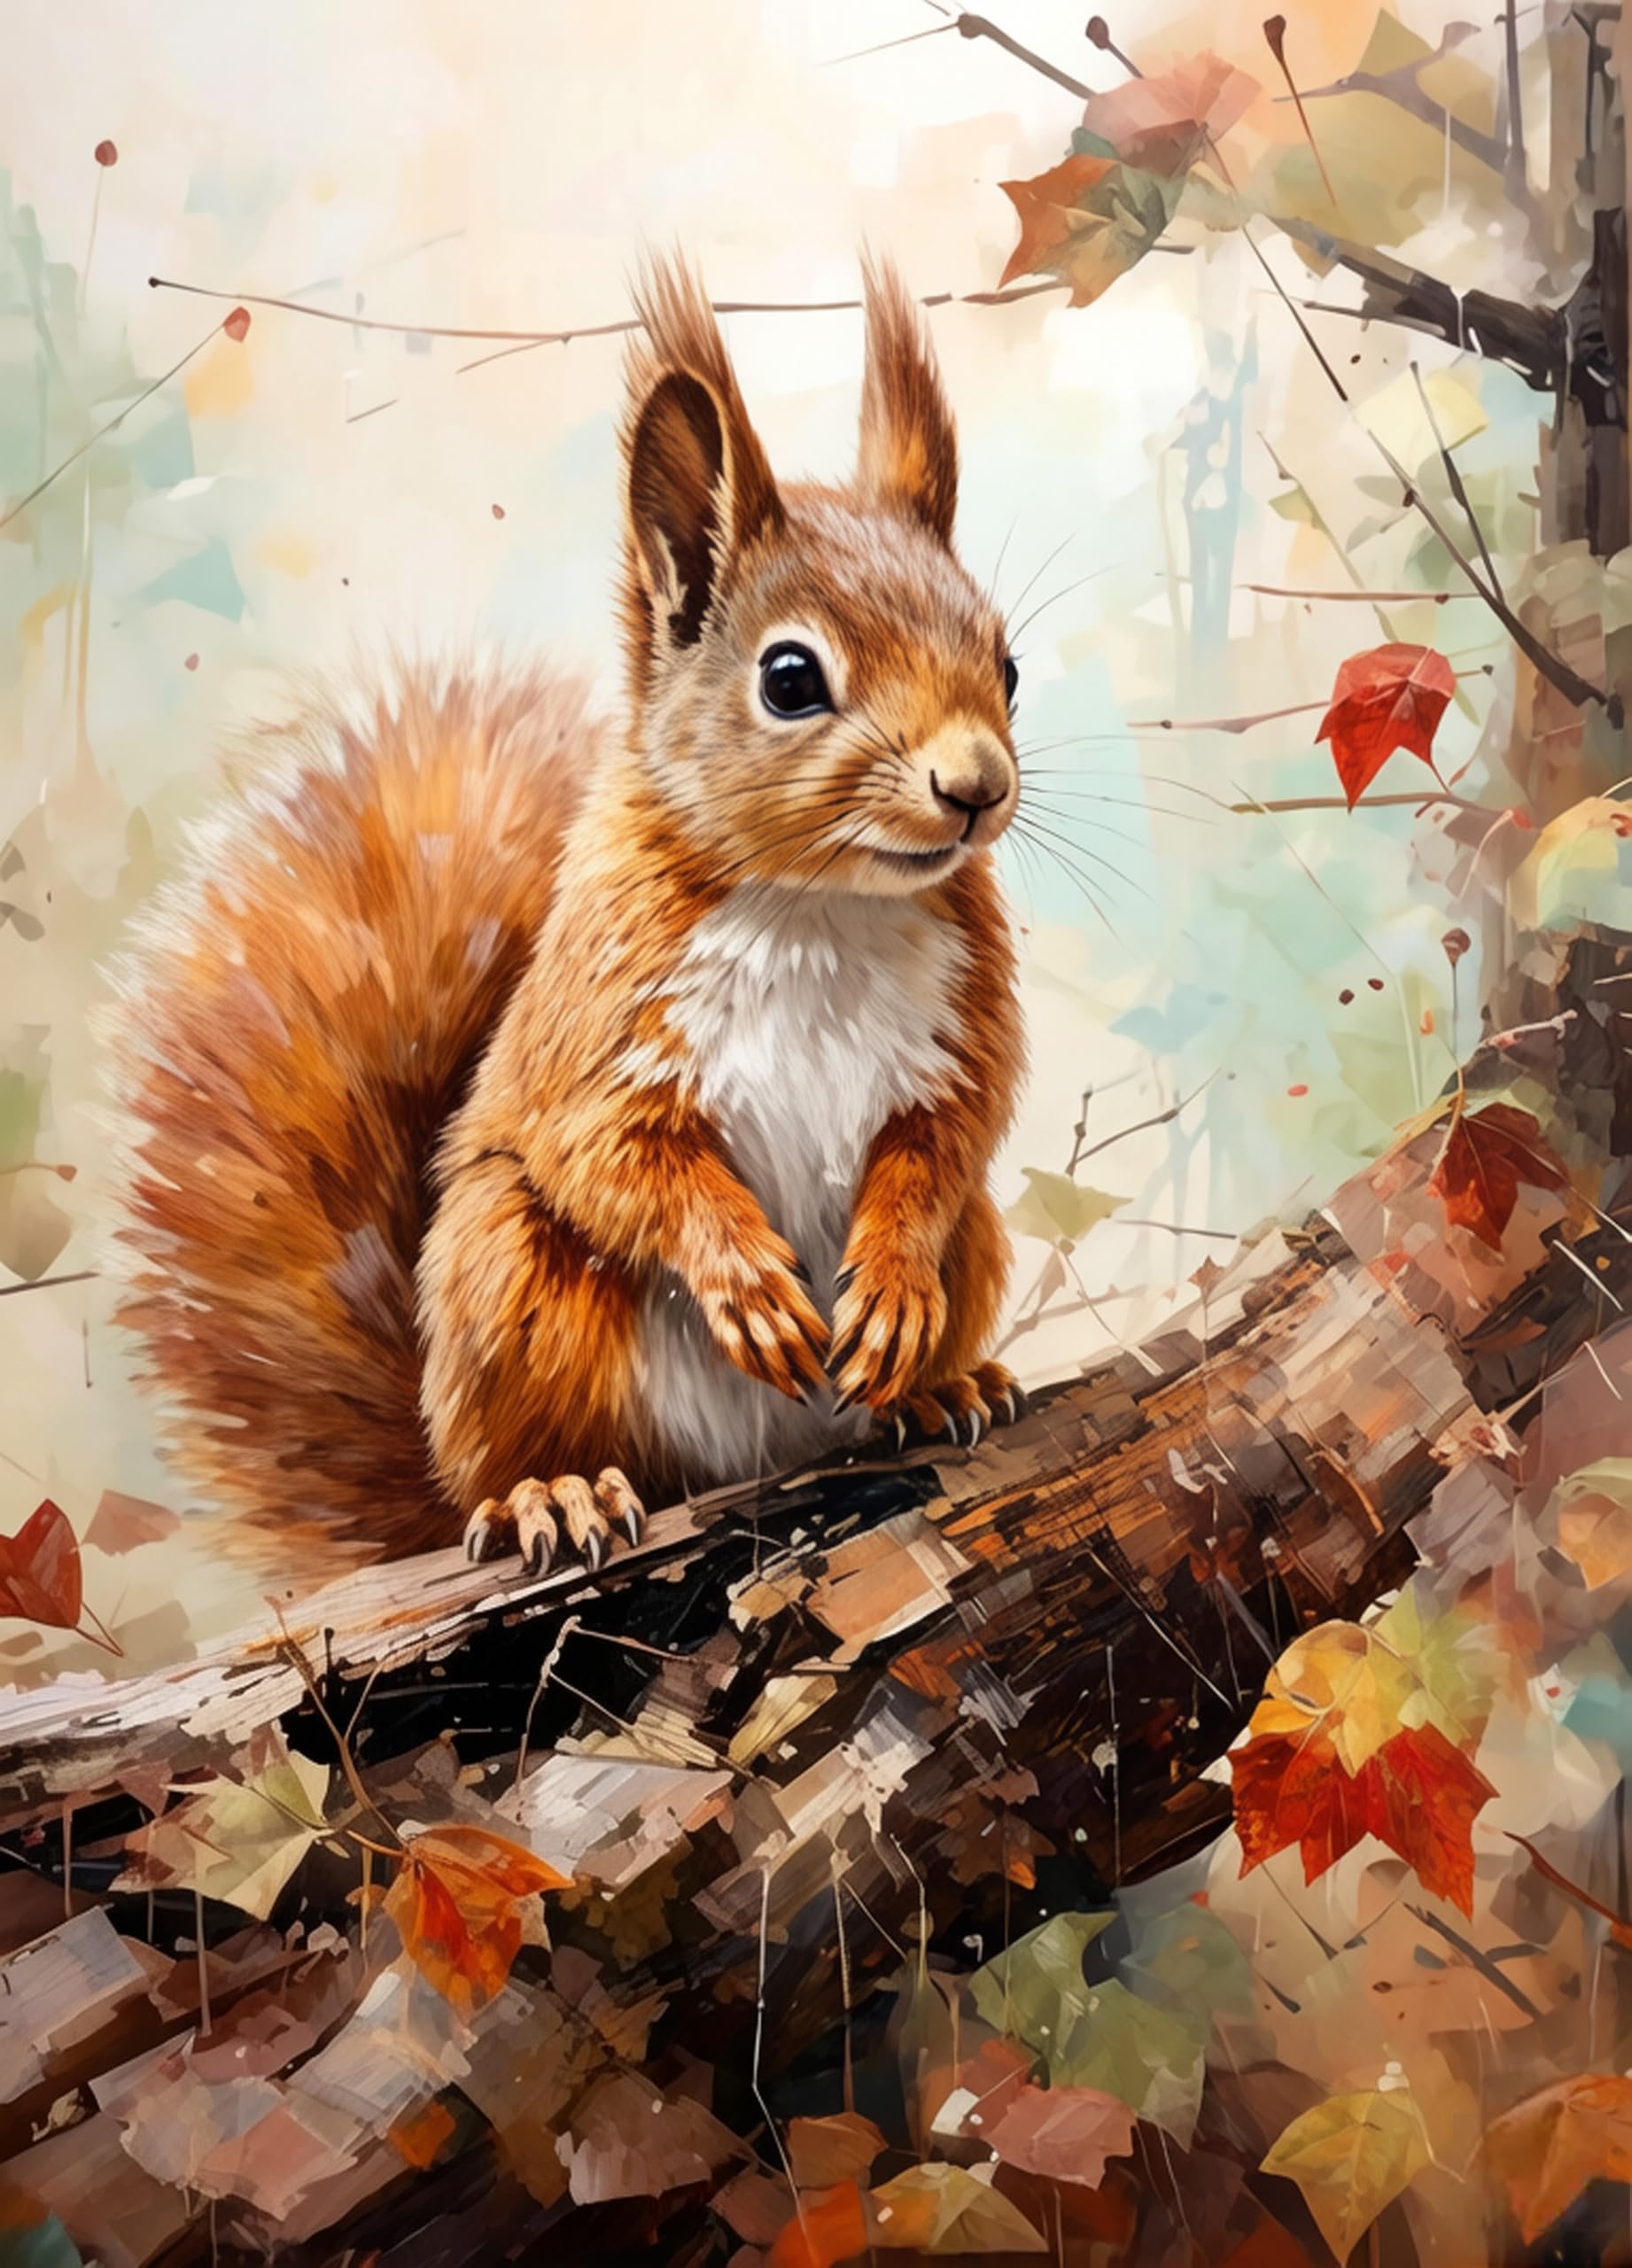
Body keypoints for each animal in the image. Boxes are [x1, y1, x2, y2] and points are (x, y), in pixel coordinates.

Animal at [107, 254, 1027, 1579]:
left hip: (977, 1245)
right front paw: (746, 1280)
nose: (977, 787)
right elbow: (619, 1157)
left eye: (1006, 664)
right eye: (790, 678)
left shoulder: (964, 1023)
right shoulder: (598, 1026)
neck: (822, 908)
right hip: (510, 1281)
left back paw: (936, 1388)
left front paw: (895, 1283)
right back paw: (557, 1490)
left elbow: (948, 1140)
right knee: (529, 1449)